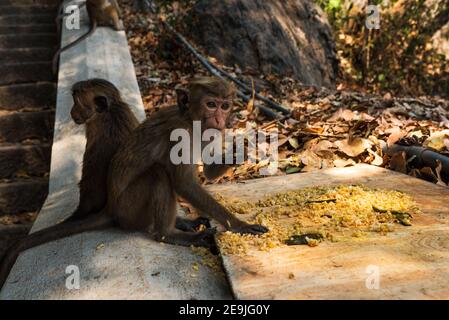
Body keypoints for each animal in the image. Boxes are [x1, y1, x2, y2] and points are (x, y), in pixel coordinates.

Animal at [0, 77, 266, 288]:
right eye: (211, 104)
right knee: (158, 173)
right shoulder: (179, 135)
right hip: (130, 207)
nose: (221, 119)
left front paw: (241, 150)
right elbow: (183, 183)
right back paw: (167, 234)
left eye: (225, 105)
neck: (191, 121)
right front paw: (239, 225)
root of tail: (111, 208)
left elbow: (209, 173)